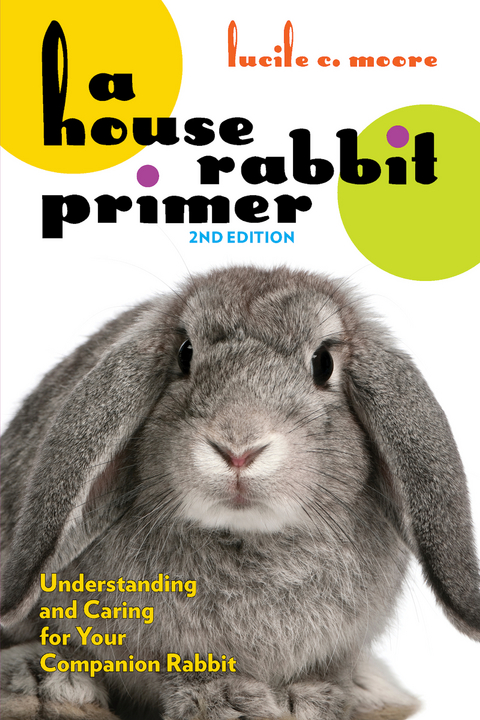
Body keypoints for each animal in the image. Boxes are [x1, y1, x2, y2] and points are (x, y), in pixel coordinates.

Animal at [1, 265, 479, 720]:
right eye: (185, 354)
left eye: (323, 363)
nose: (238, 448)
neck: (248, 535)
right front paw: (227, 701)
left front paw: (309, 700)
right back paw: (49, 686)